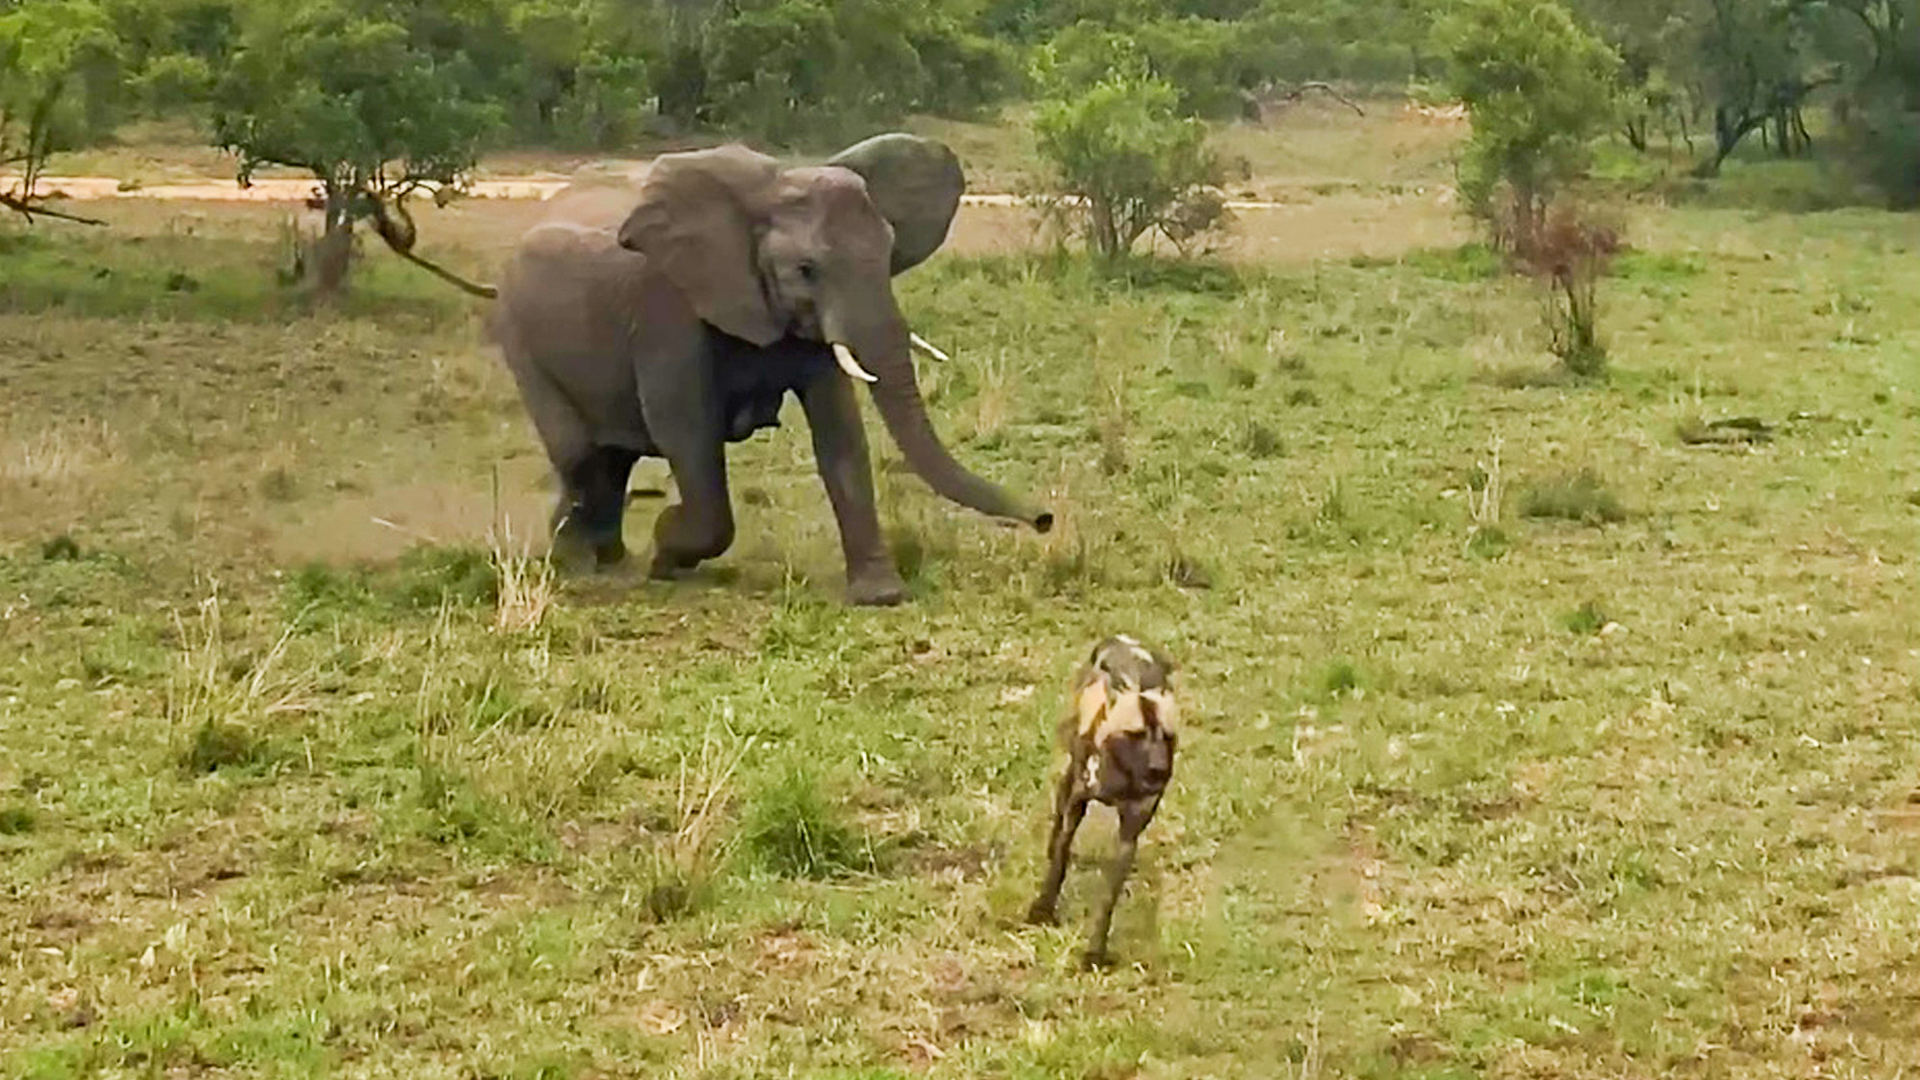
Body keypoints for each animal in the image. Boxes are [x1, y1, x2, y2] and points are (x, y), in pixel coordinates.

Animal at [488, 133, 1052, 606]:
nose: (1045, 518)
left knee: (608, 459)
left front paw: (880, 595)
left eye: (889, 253)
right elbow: (686, 430)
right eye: (806, 270)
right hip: (519, 334)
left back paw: (601, 557)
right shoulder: (667, 310)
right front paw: (666, 549)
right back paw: (579, 561)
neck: (775, 187)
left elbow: (841, 433)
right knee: (580, 455)